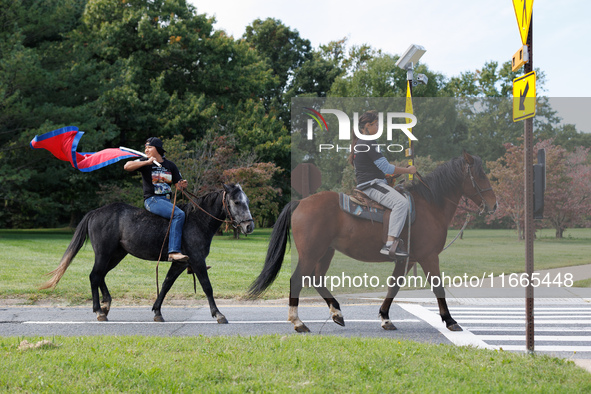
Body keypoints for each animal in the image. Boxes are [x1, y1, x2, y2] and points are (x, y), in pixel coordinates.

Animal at [41, 183, 254, 322]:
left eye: (247, 201)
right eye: (236, 202)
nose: (249, 226)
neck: (197, 221)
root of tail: (95, 212)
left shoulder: (180, 263)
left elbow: (166, 285)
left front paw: (157, 311)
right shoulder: (197, 260)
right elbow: (207, 287)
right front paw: (218, 314)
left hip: (116, 255)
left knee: (100, 276)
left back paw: (106, 305)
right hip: (104, 253)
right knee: (95, 276)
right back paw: (99, 311)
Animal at [247, 151, 498, 332]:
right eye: (480, 175)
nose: (494, 204)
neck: (430, 205)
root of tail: (301, 202)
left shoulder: (407, 260)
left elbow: (394, 286)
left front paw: (385, 318)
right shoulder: (429, 257)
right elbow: (438, 288)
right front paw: (450, 320)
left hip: (325, 252)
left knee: (316, 279)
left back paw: (337, 313)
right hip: (311, 253)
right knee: (297, 280)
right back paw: (298, 322)